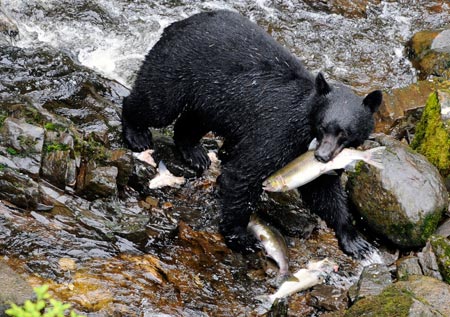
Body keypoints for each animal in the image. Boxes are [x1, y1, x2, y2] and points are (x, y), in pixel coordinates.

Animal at [121, 10, 382, 256]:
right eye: (322, 126)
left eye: (344, 133)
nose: (322, 156)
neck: (305, 124)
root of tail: (177, 24)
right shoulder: (278, 131)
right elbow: (244, 174)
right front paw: (241, 236)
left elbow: (323, 190)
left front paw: (355, 240)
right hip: (177, 66)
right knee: (156, 102)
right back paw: (137, 133)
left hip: (210, 98)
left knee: (192, 120)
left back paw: (195, 153)